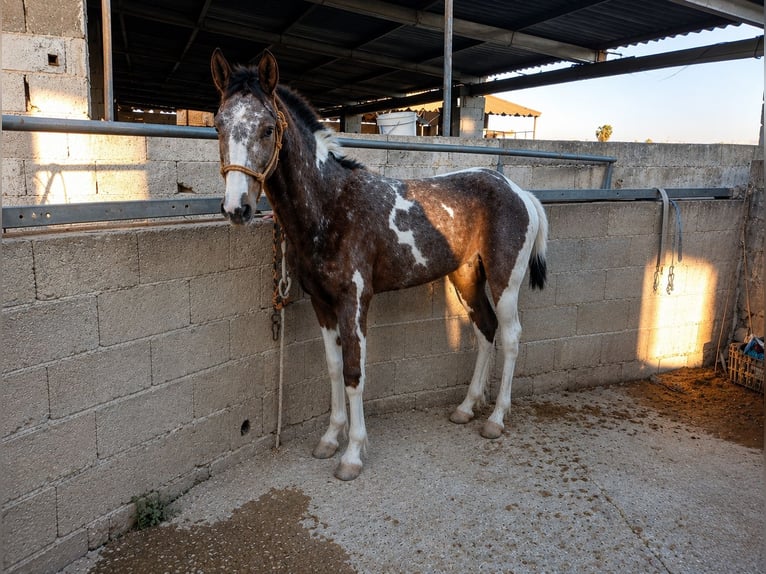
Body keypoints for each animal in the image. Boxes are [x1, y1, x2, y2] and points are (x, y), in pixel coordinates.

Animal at [211, 49, 549, 481]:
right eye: (218, 125)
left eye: (268, 129)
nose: (236, 208)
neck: (331, 205)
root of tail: (520, 191)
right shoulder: (322, 303)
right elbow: (334, 368)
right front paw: (330, 439)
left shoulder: (354, 302)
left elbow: (355, 373)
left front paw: (353, 454)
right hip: (466, 278)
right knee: (485, 331)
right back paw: (466, 408)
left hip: (505, 282)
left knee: (510, 337)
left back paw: (496, 419)